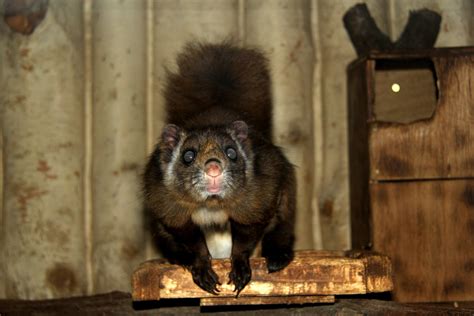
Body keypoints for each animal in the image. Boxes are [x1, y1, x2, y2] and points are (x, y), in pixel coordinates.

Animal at [144, 40, 294, 296]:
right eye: (188, 155)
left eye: (231, 153)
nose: (213, 168)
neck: (212, 204)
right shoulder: (170, 208)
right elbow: (193, 242)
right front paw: (201, 268)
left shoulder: (257, 201)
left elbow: (245, 240)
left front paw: (241, 268)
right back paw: (180, 258)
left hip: (283, 203)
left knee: (282, 227)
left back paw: (277, 255)